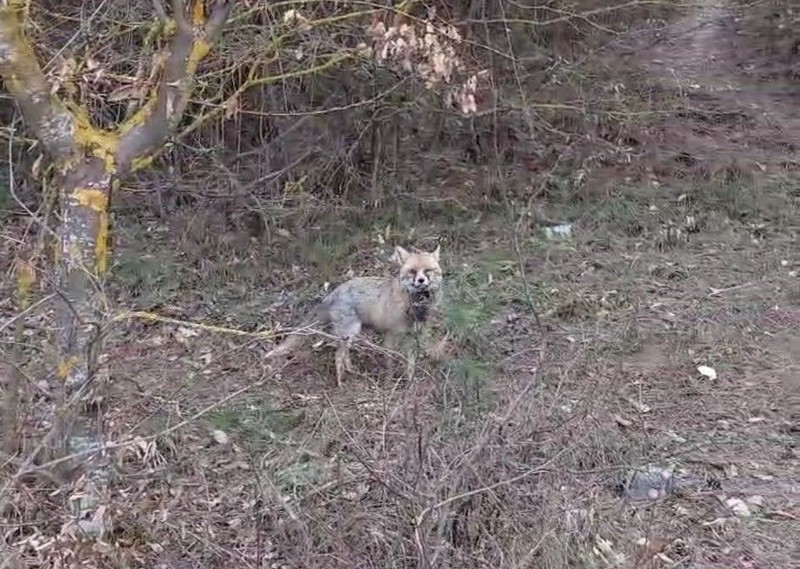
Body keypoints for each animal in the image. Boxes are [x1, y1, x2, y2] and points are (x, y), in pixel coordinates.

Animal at [268, 244, 444, 386]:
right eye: (413, 271)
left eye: (428, 271)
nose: (421, 280)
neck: (414, 307)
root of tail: (334, 291)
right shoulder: (390, 335)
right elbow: (390, 363)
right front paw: (389, 383)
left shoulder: (414, 337)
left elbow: (410, 366)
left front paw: (409, 383)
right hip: (349, 333)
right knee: (338, 356)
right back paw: (341, 383)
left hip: (351, 334)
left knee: (345, 356)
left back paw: (352, 371)